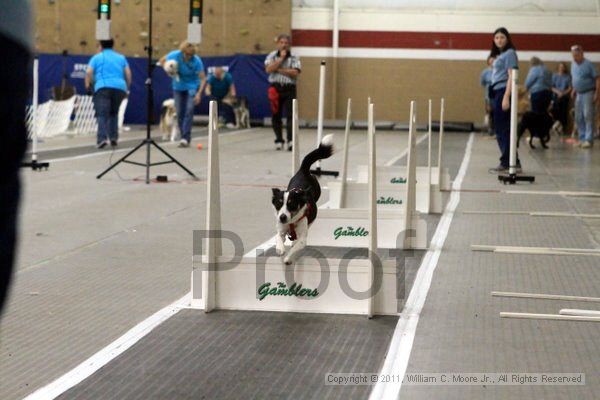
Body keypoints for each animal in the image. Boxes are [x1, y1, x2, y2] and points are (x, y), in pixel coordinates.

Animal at [270, 134, 332, 266]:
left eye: (291, 204)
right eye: (278, 204)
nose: (282, 217)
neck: (292, 222)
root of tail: (304, 170)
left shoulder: (302, 238)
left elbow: (296, 247)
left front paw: (288, 258)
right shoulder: (281, 230)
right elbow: (278, 237)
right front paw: (280, 249)